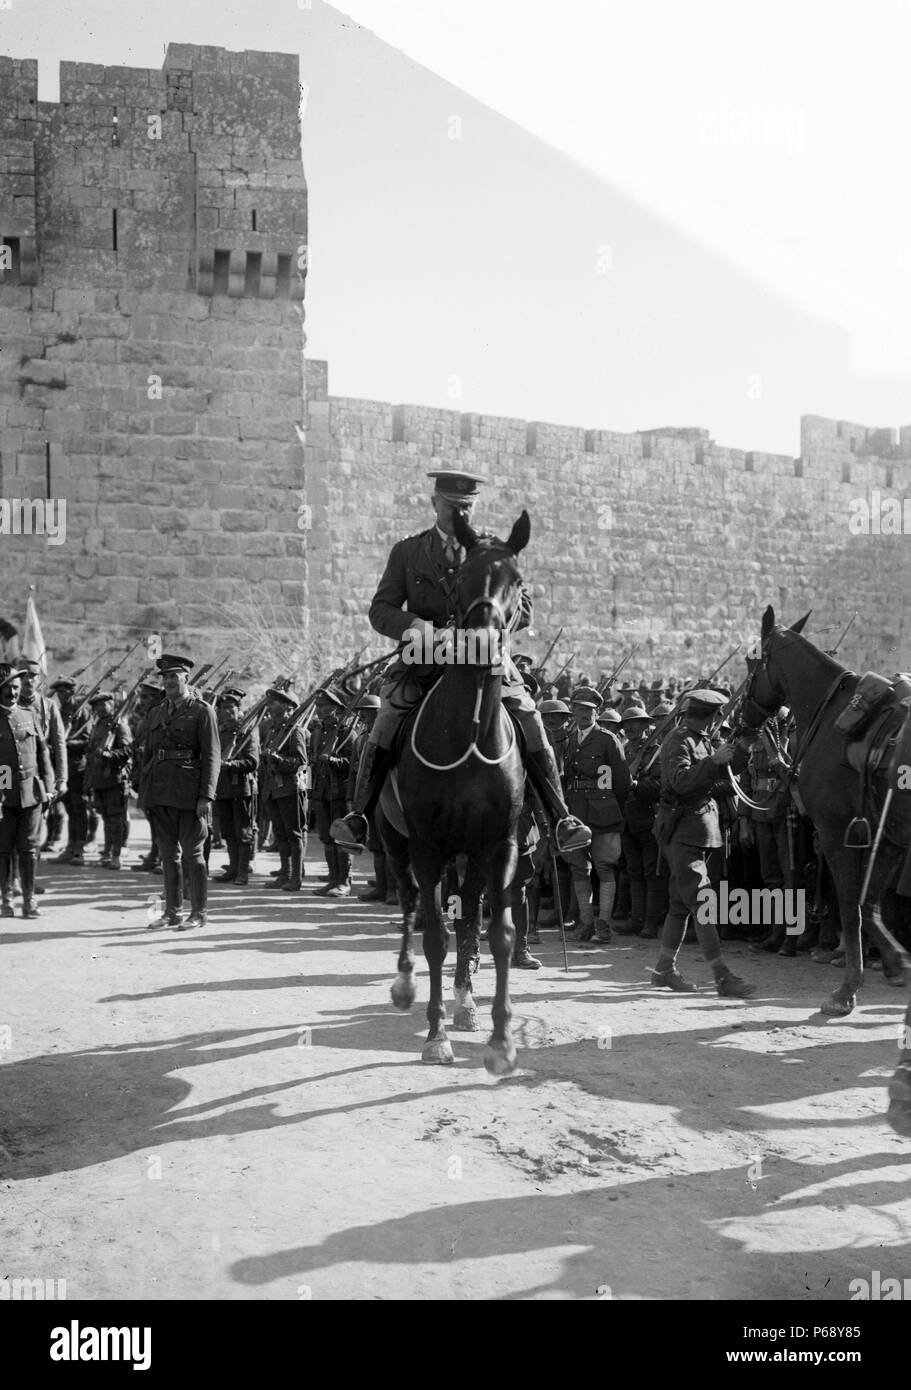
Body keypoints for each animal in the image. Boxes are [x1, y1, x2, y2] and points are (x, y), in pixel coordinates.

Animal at [378, 511, 531, 1073]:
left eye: (517, 582)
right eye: (462, 577)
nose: (483, 643)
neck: (468, 736)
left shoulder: (500, 845)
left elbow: (498, 933)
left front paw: (501, 1040)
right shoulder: (426, 846)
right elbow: (435, 936)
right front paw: (435, 1034)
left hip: (469, 856)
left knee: (467, 914)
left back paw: (466, 1001)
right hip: (398, 844)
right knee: (411, 904)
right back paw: (406, 985)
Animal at [739, 608, 906, 1034]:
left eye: (750, 664)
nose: (741, 721)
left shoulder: (836, 834)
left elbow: (850, 905)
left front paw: (846, 991)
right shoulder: (887, 836)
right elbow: (870, 905)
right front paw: (897, 963)